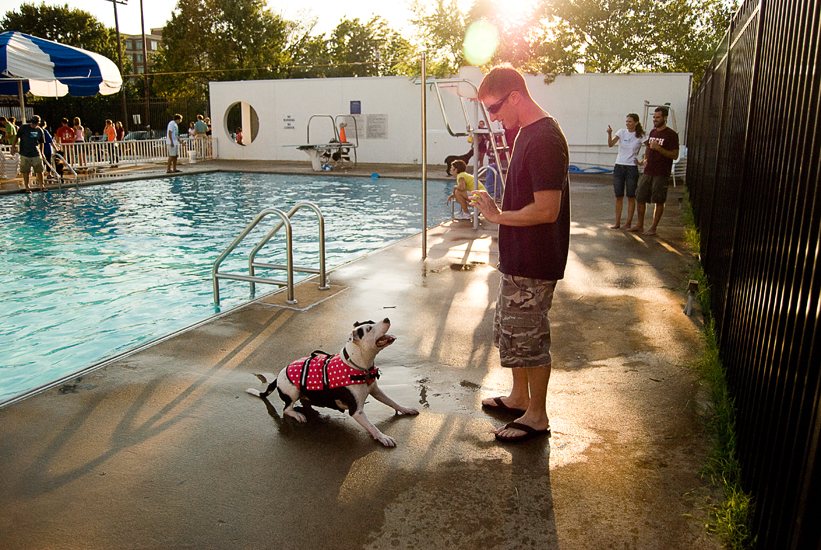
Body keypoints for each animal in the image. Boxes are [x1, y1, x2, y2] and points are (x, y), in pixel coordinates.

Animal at [245, 320, 420, 448]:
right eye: (370, 328)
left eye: (372, 322)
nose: (386, 319)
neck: (357, 365)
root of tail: (278, 375)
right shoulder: (357, 411)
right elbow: (372, 427)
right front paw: (383, 437)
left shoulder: (376, 391)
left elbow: (393, 402)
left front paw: (405, 409)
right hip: (292, 391)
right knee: (287, 409)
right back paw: (297, 415)